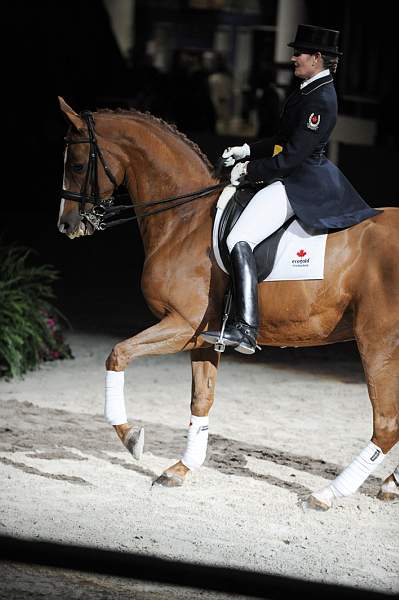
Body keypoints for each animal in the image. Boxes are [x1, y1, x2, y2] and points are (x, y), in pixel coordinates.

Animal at [57, 96, 399, 508]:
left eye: (76, 165)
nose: (66, 225)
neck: (184, 219)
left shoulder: (181, 325)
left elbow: (118, 354)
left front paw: (131, 438)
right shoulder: (204, 337)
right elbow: (201, 399)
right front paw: (181, 469)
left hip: (378, 343)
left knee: (386, 425)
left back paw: (326, 494)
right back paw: (388, 485)